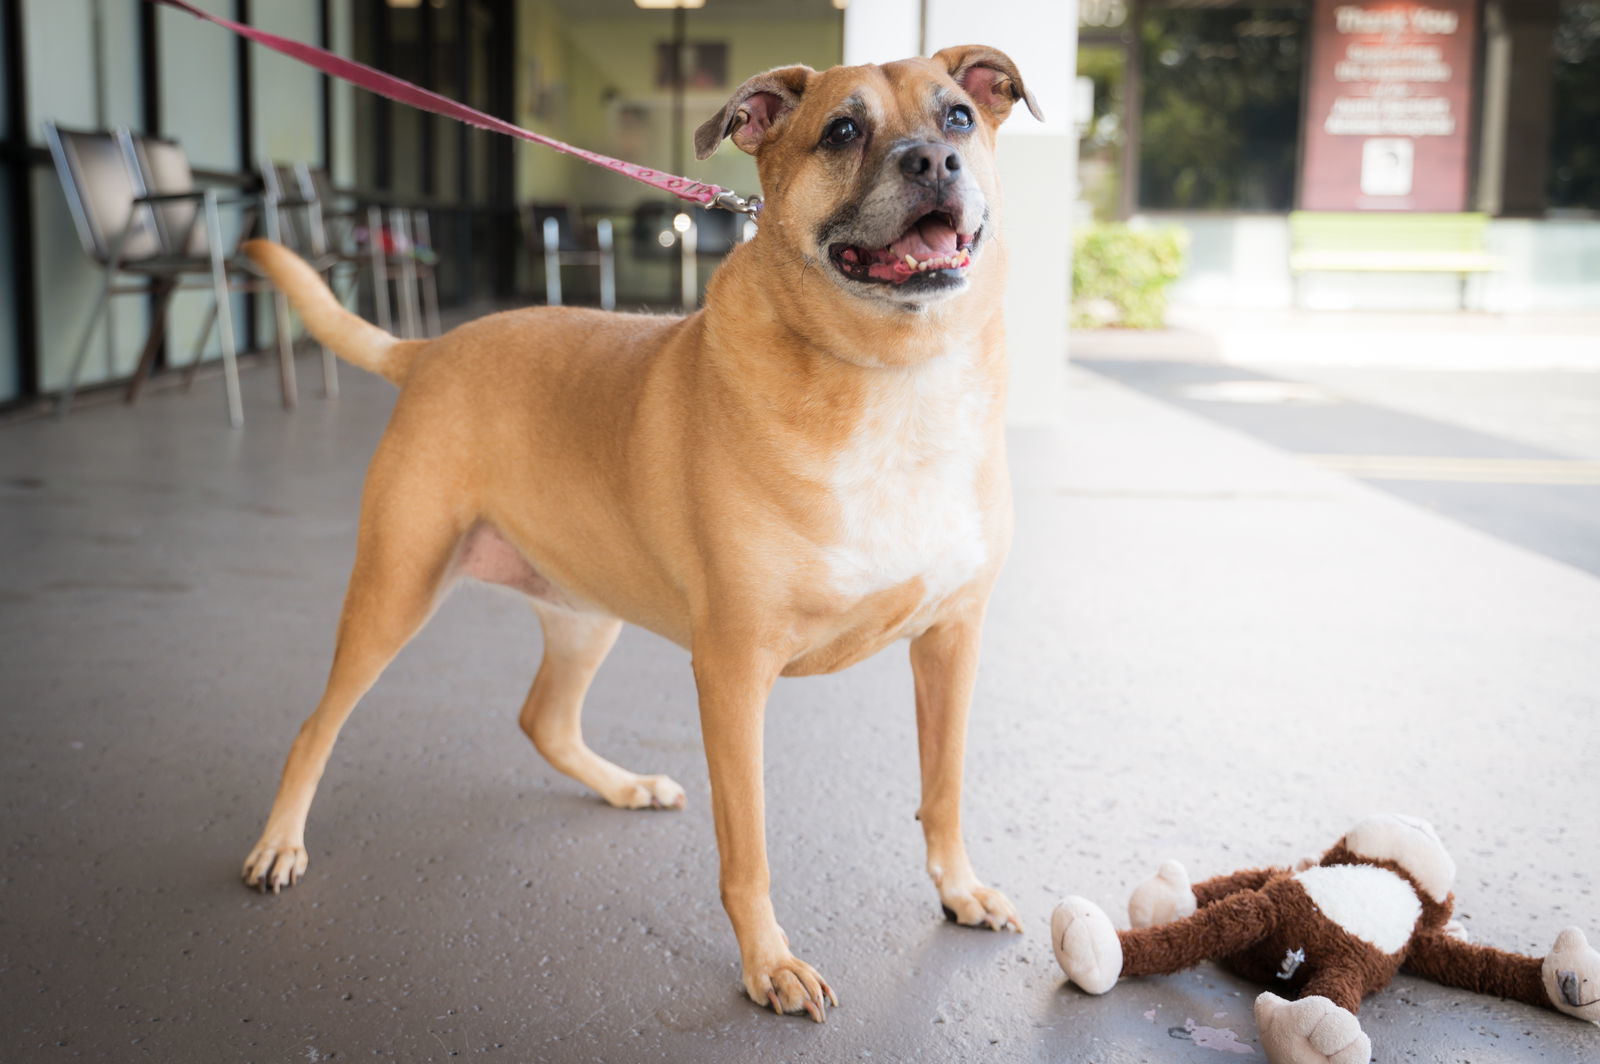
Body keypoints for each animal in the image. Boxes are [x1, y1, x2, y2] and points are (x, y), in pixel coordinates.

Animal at [236, 47, 1036, 1024]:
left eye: (958, 115)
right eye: (843, 130)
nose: (933, 160)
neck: (893, 380)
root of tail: (430, 350)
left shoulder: (952, 641)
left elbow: (944, 788)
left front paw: (958, 888)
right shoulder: (733, 673)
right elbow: (748, 846)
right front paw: (768, 962)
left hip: (585, 612)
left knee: (542, 718)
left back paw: (624, 785)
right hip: (395, 591)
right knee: (316, 725)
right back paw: (280, 841)